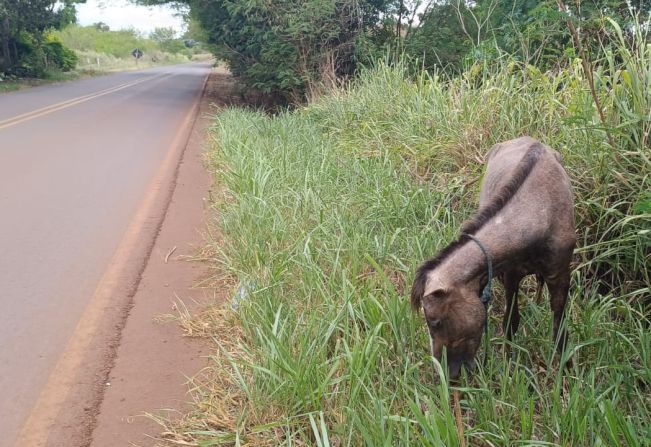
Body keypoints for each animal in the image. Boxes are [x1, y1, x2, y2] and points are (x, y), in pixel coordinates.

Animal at [412, 136, 576, 378]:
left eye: (435, 322)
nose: (447, 375)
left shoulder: (560, 273)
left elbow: (559, 324)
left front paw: (567, 368)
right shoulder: (511, 275)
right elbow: (511, 320)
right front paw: (509, 361)